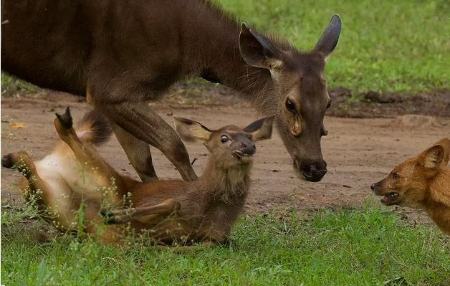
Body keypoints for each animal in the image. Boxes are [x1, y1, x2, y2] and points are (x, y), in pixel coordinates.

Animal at [2, 0, 342, 182]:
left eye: (328, 102)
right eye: (290, 103)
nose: (315, 167)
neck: (188, 47)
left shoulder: (113, 95)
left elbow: (143, 162)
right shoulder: (110, 86)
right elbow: (174, 144)